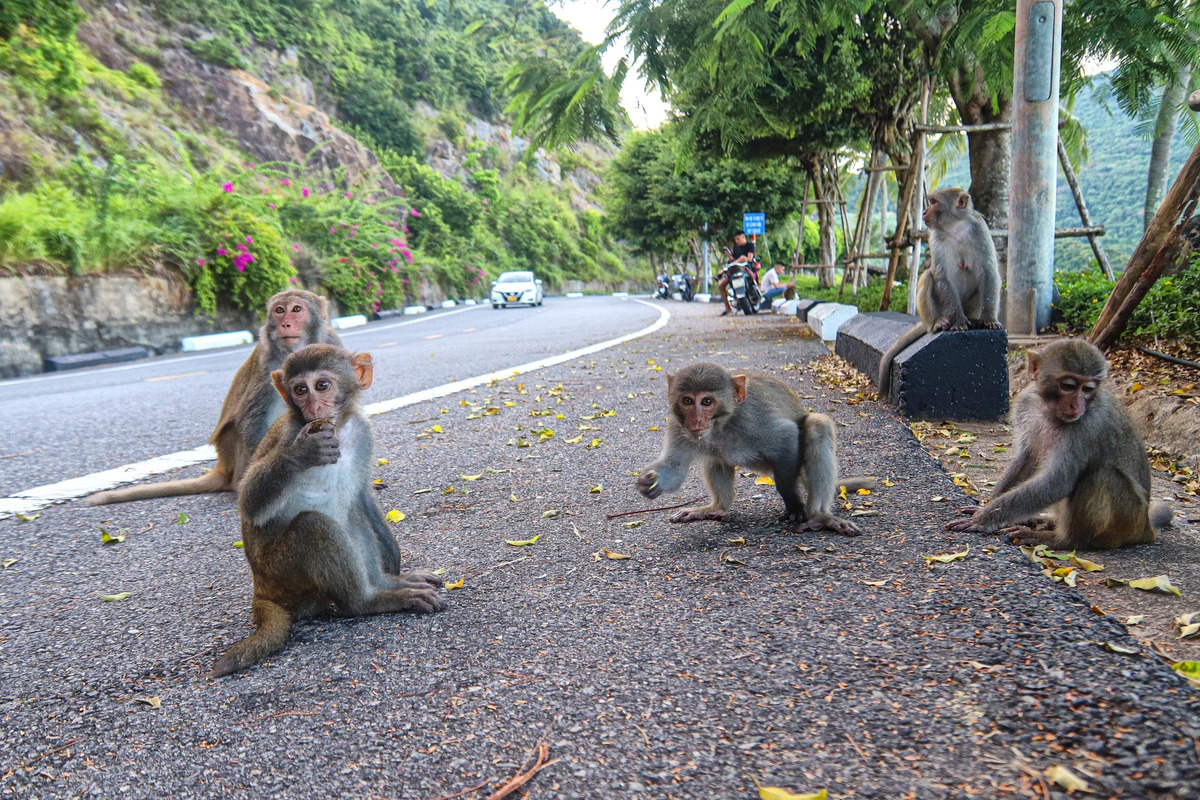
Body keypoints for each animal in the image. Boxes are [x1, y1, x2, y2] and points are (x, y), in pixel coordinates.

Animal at [211, 345, 446, 676]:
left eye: (322, 385)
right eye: (299, 390)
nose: (313, 406)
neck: (340, 429)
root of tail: (261, 586)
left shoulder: (362, 429)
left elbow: (361, 495)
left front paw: (394, 558)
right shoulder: (289, 432)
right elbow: (249, 505)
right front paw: (302, 454)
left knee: (351, 514)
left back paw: (386, 583)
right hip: (283, 574)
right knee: (313, 525)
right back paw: (367, 602)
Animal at [633, 362, 868, 537]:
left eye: (707, 401)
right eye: (687, 401)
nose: (696, 421)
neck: (723, 425)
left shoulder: (754, 422)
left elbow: (787, 436)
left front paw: (793, 502)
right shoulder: (677, 426)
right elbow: (675, 469)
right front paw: (649, 481)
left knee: (818, 425)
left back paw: (820, 517)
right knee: (715, 457)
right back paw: (716, 508)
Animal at [873, 190, 1003, 398]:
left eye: (934, 202)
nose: (924, 211)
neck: (956, 228)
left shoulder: (980, 230)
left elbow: (989, 272)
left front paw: (989, 319)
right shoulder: (935, 238)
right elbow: (942, 276)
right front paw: (958, 322)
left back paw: (975, 319)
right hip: (940, 310)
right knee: (928, 276)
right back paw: (937, 323)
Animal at [945, 338, 1171, 551]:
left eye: (1087, 389)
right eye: (1068, 386)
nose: (1076, 405)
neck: (1049, 409)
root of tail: (1145, 527)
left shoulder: (1087, 426)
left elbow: (1057, 481)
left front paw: (984, 518)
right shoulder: (1026, 403)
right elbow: (1028, 459)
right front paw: (987, 507)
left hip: (1127, 520)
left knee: (1101, 475)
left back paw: (1064, 540)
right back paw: (1046, 522)